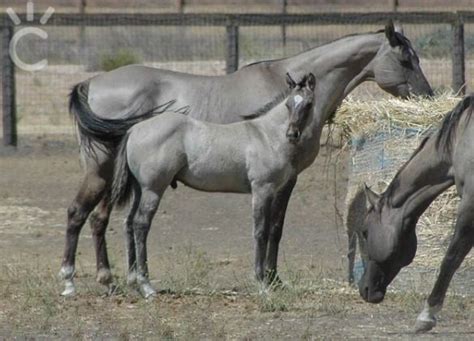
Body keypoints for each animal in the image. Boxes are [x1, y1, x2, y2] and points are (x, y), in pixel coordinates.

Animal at [112, 73, 318, 296]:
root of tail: (134, 129)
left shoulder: (276, 190)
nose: (292, 134)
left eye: (308, 104)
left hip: (140, 190)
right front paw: (262, 283)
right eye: (288, 104)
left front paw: (273, 281)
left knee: (129, 223)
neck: (265, 136)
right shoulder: (262, 190)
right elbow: (260, 232)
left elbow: (274, 229)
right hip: (152, 189)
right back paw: (146, 285)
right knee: (141, 224)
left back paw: (133, 281)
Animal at [360, 95, 474, 332]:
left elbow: (451, 257)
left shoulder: (470, 204)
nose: (364, 289)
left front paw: (427, 315)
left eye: (365, 232)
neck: (462, 137)